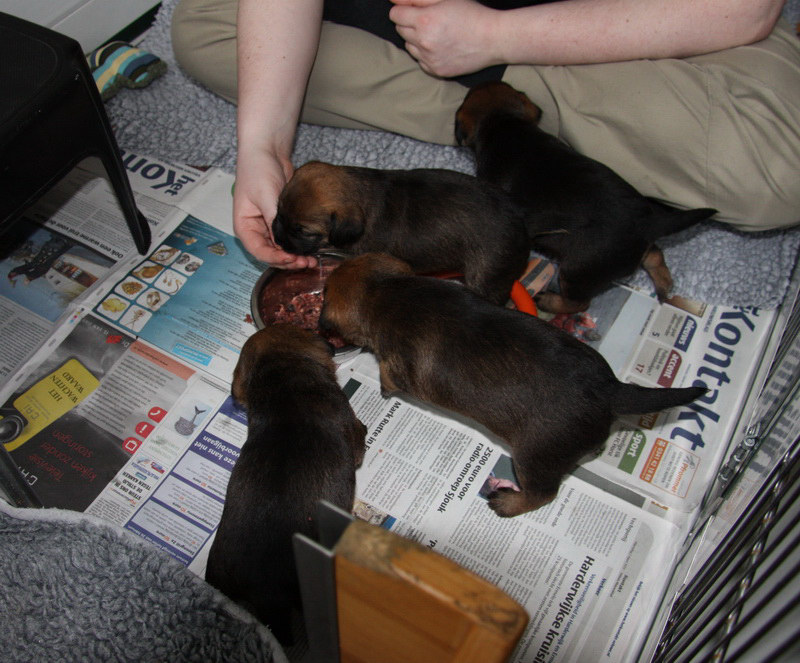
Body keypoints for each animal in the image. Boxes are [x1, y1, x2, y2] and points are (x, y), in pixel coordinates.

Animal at [273, 160, 532, 306]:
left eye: (302, 230)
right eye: (278, 211)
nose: (276, 236)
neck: (362, 195)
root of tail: (521, 221)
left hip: (486, 278)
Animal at [320, 253, 705, 518]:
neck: (385, 292)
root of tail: (612, 390)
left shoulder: (397, 362)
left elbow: (388, 374)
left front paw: (384, 385)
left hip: (534, 457)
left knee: (543, 494)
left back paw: (508, 502)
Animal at [455, 81, 717, 313]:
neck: (504, 122)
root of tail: (649, 222)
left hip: (576, 271)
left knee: (580, 303)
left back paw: (549, 301)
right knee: (654, 255)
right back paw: (664, 285)